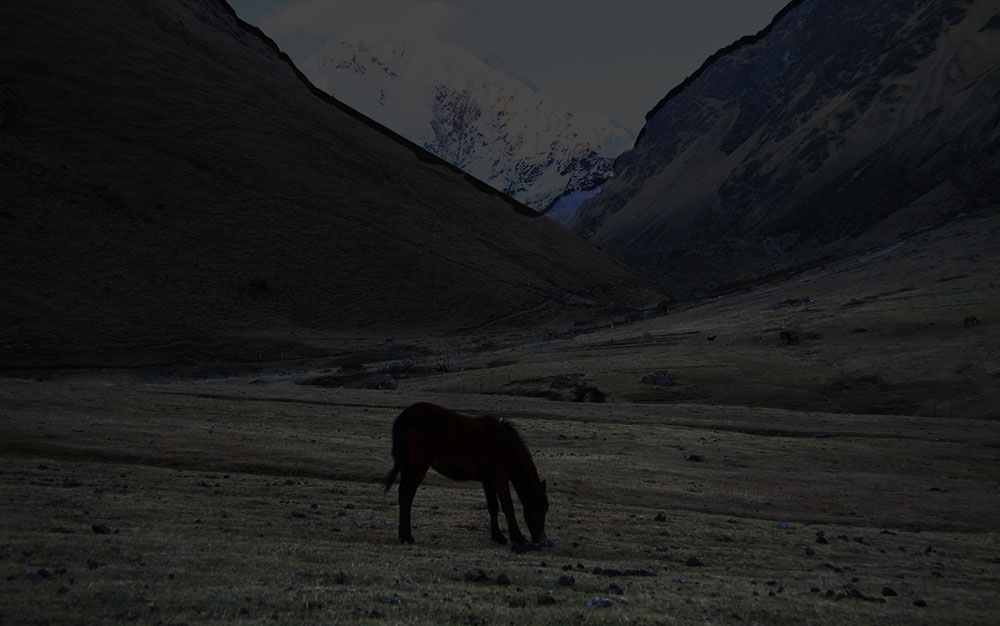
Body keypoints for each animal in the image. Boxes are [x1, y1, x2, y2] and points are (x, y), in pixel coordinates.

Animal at [383, 402, 550, 550]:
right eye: (544, 508)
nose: (542, 539)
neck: (507, 446)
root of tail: (406, 415)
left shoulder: (488, 479)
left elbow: (493, 506)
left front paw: (497, 536)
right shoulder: (500, 476)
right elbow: (507, 504)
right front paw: (519, 537)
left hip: (408, 466)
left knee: (403, 492)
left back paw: (403, 534)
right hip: (419, 466)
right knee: (407, 493)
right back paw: (407, 537)